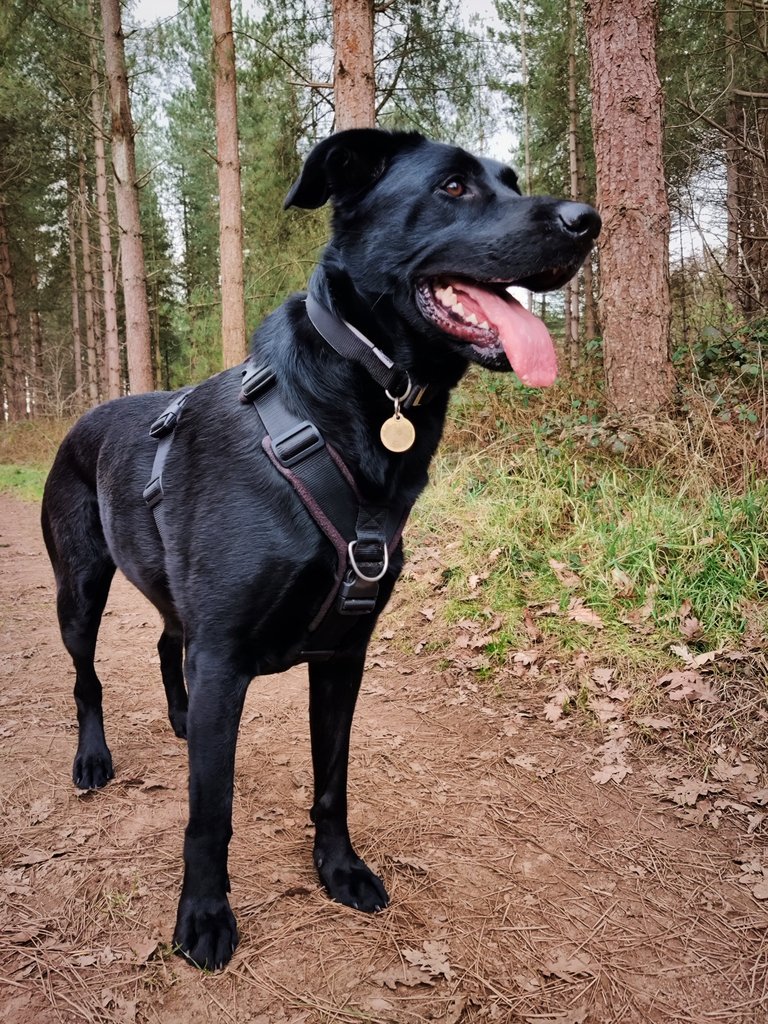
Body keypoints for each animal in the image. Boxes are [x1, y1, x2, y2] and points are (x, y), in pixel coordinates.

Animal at [41, 130, 602, 966]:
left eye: (511, 180)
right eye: (454, 187)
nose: (588, 220)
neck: (345, 405)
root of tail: (79, 420)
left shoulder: (342, 654)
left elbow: (332, 782)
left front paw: (339, 869)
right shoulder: (225, 658)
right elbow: (210, 813)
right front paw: (203, 915)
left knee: (166, 643)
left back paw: (178, 718)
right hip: (77, 592)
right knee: (87, 679)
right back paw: (93, 758)